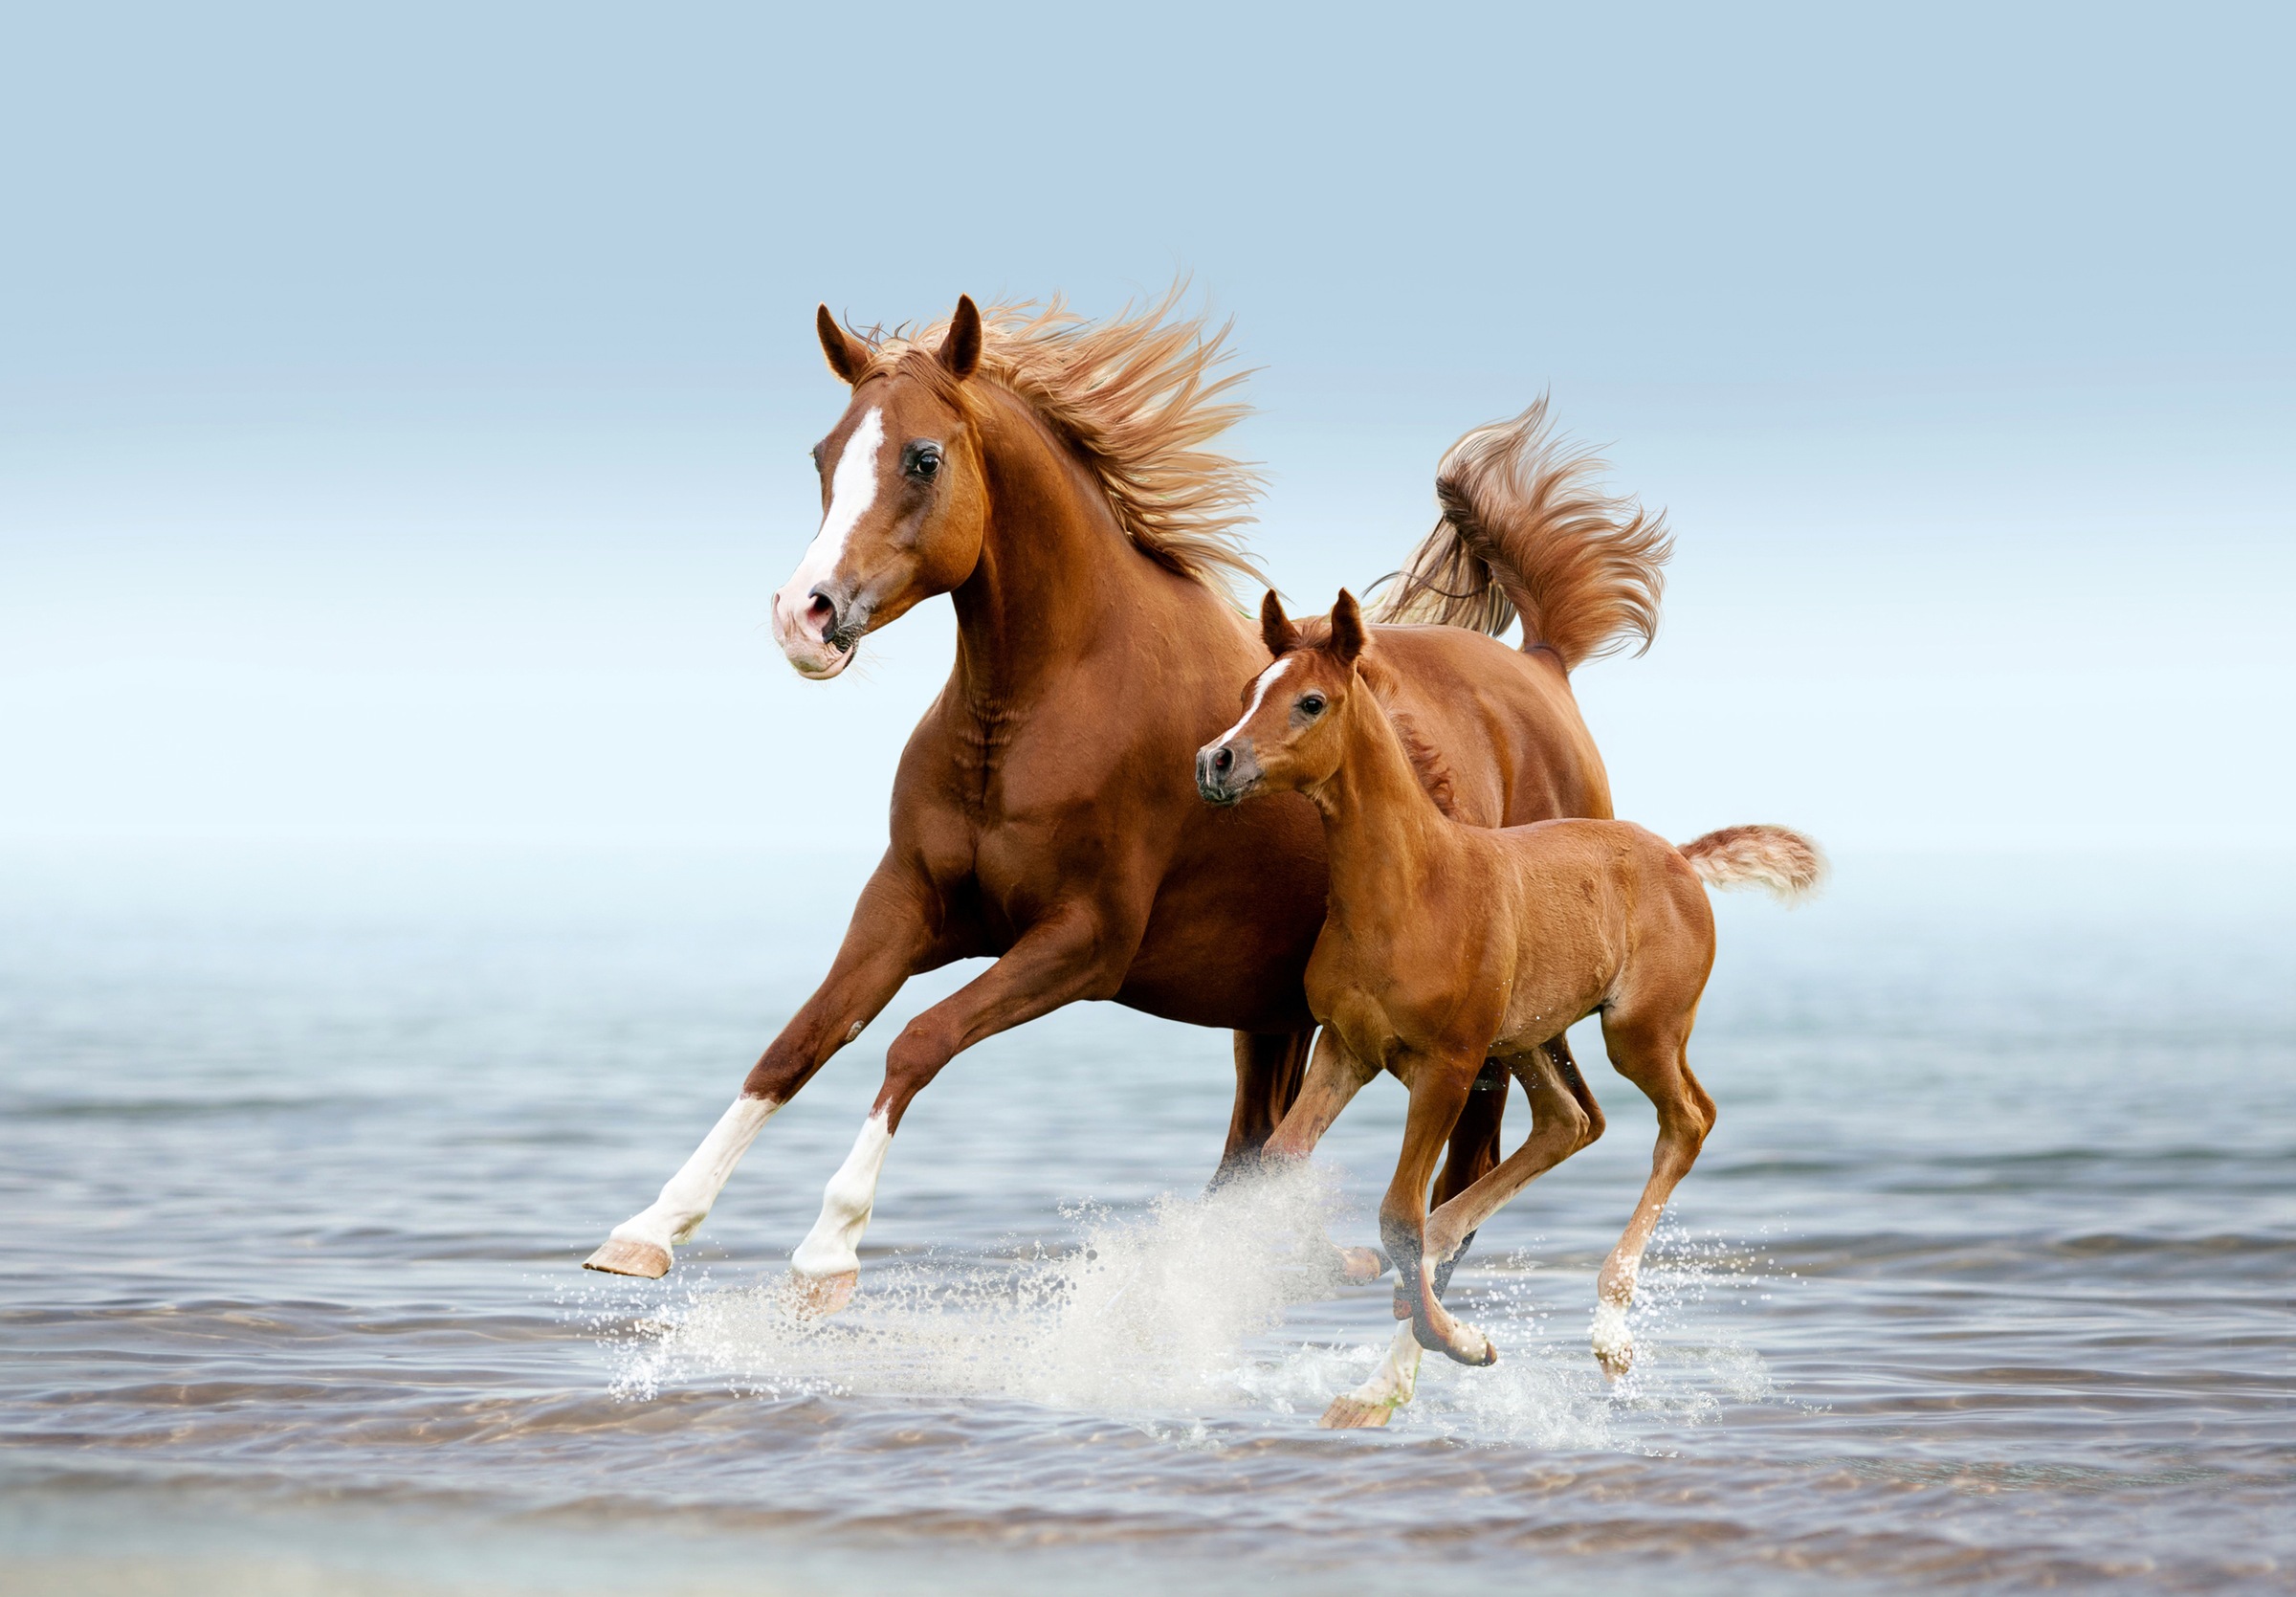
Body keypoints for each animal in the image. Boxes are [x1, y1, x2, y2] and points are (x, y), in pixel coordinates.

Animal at [583, 291, 1672, 1314]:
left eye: (924, 459)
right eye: (822, 454)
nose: (803, 618)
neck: (1039, 704)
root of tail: (1543, 668)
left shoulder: (1083, 940)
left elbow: (915, 1041)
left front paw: (827, 1249)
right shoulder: (908, 904)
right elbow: (799, 1042)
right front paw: (647, 1230)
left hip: (1482, 1025)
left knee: (1473, 1159)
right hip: (1270, 1012)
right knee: (1257, 1154)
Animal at [1198, 588, 1823, 1426]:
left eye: (1310, 701)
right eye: (1246, 693)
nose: (1215, 761)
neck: (1410, 889)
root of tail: (1681, 859)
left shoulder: (1448, 1066)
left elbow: (1396, 1212)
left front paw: (1460, 1341)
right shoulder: (1347, 1048)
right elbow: (1280, 1163)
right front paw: (1383, 1285)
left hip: (1636, 1032)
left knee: (1688, 1119)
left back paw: (1609, 1330)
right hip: (1528, 1037)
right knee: (1569, 1121)